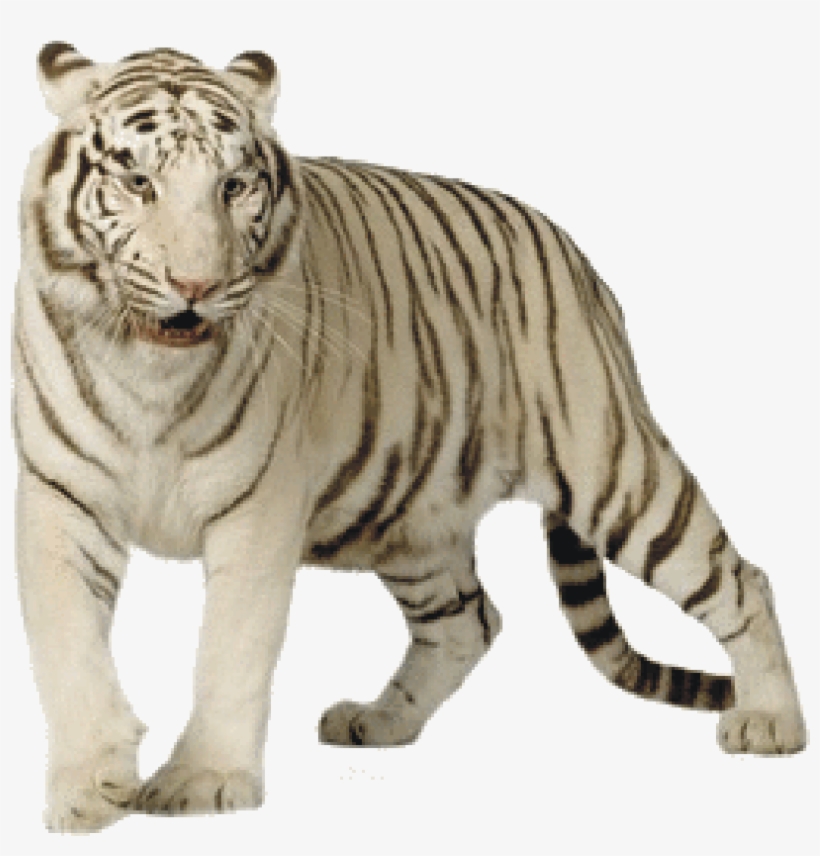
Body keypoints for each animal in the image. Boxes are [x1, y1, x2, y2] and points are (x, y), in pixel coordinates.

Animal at [13, 42, 806, 833]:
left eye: (234, 186)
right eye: (137, 182)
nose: (196, 286)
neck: (150, 373)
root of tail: (575, 256)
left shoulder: (256, 511)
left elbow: (228, 651)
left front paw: (204, 780)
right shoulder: (61, 501)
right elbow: (68, 646)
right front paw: (88, 788)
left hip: (612, 469)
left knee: (743, 579)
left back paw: (771, 722)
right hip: (407, 516)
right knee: (469, 620)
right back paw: (379, 719)